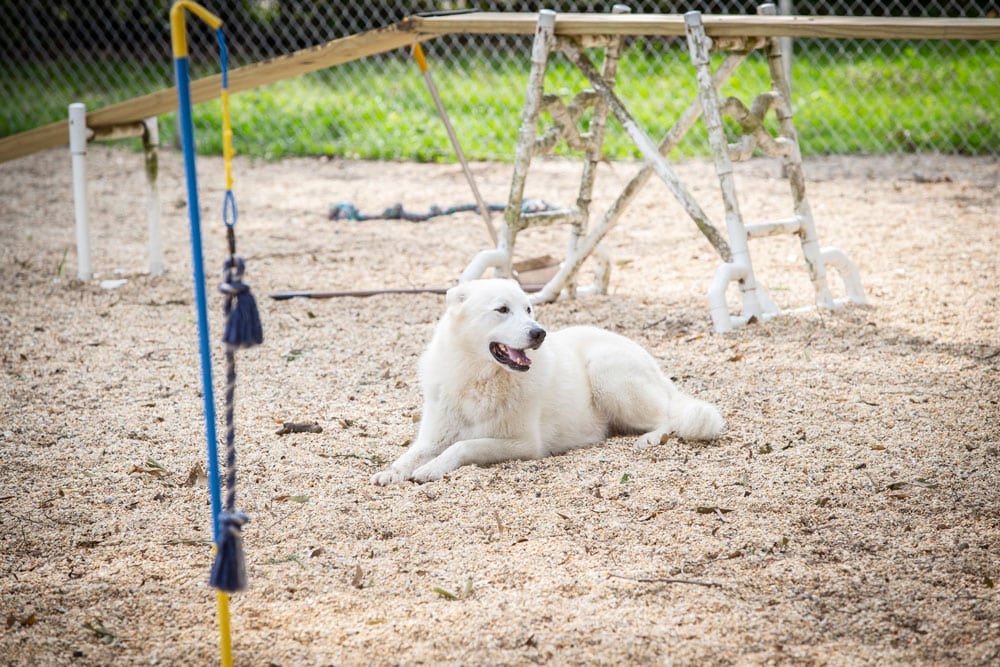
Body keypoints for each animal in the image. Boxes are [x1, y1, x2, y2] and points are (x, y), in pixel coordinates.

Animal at [372, 280, 724, 486]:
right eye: (502, 309)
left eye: (528, 309)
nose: (538, 333)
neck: (478, 376)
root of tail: (653, 363)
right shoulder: (432, 437)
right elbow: (410, 454)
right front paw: (391, 472)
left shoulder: (523, 444)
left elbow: (462, 446)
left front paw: (430, 470)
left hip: (606, 371)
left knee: (668, 417)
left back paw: (650, 438)